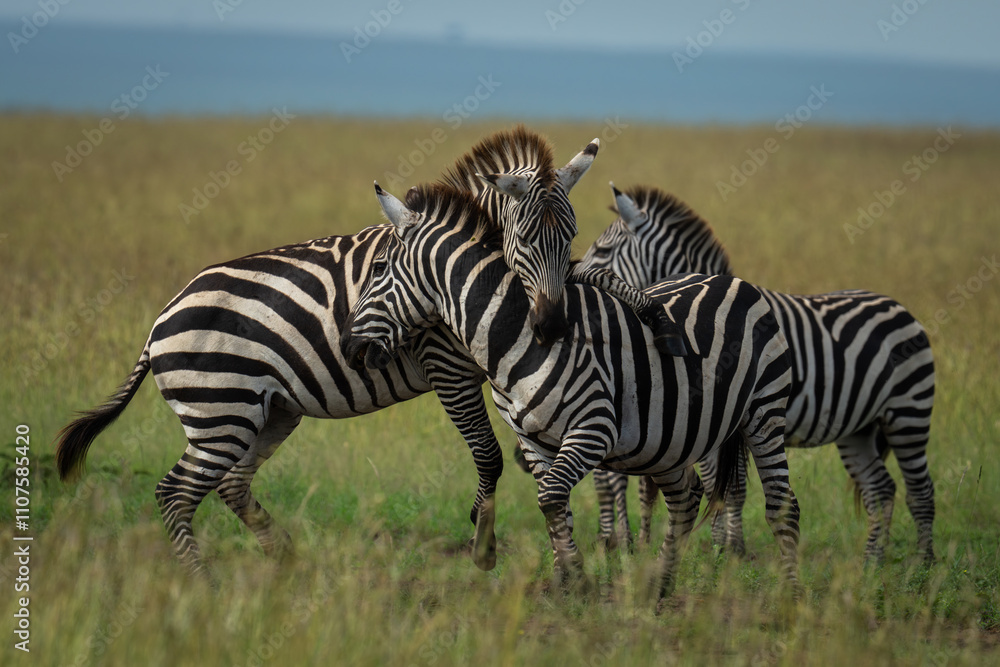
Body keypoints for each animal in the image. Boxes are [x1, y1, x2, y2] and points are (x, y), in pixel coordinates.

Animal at [342, 182, 801, 602]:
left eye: (378, 267)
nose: (347, 347)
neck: (515, 335)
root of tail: (734, 280)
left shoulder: (593, 429)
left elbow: (550, 497)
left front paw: (577, 580)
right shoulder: (531, 437)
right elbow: (554, 503)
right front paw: (567, 580)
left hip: (764, 414)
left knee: (782, 505)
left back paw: (790, 600)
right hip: (668, 439)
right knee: (686, 499)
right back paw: (660, 587)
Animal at [581, 184, 935, 563]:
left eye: (602, 250)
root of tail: (897, 305)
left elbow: (726, 487)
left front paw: (725, 549)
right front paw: (723, 547)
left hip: (908, 412)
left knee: (920, 489)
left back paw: (924, 562)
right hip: (859, 427)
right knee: (880, 488)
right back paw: (872, 561)